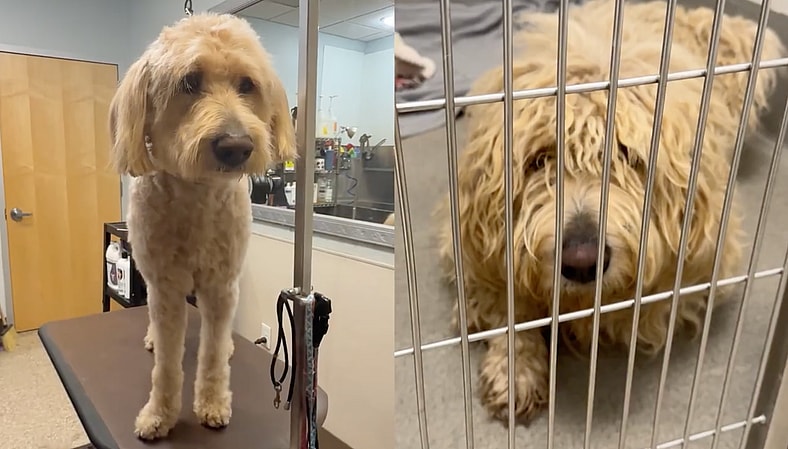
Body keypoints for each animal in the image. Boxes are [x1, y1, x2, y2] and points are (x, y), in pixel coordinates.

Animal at [109, 13, 296, 439]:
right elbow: (166, 364)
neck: (196, 194)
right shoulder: (165, 288)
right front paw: (160, 414)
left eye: (247, 85)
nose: (236, 146)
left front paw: (212, 403)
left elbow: (211, 356)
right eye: (189, 82)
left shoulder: (221, 286)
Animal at [435, 0, 785, 424]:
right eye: (539, 160)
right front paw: (515, 370)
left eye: (627, 154)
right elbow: (508, 301)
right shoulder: (471, 239)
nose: (582, 262)